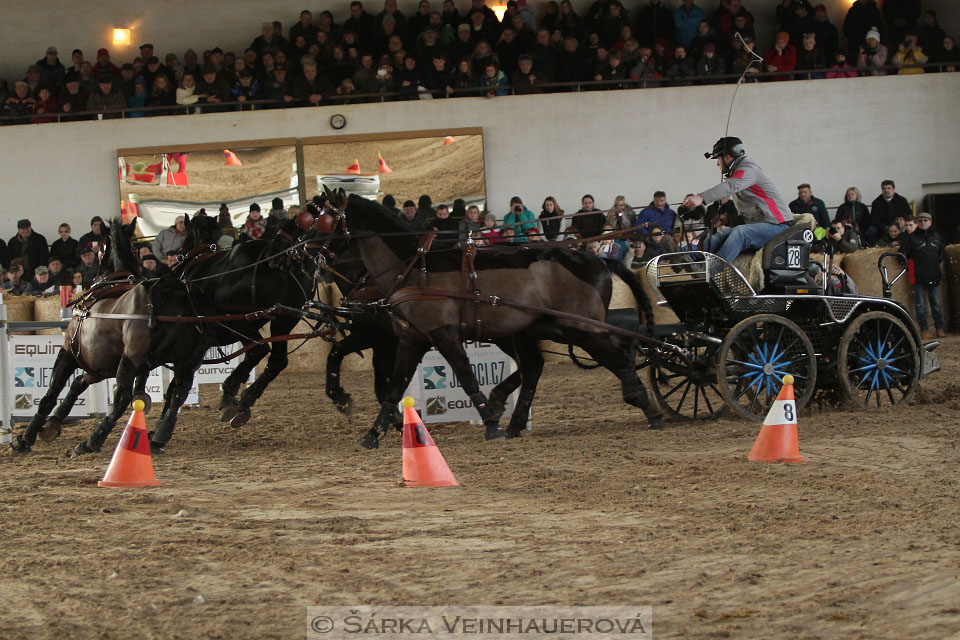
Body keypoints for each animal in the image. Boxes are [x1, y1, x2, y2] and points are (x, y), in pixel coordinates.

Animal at [314, 192, 660, 448]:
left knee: (619, 352)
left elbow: (466, 377)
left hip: (580, 327)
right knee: (538, 366)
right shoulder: (412, 339)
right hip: (542, 329)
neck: (414, 268)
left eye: (323, 218)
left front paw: (490, 423)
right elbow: (394, 388)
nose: (308, 251)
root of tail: (597, 259)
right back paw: (516, 422)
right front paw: (373, 433)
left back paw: (649, 408)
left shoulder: (444, 335)